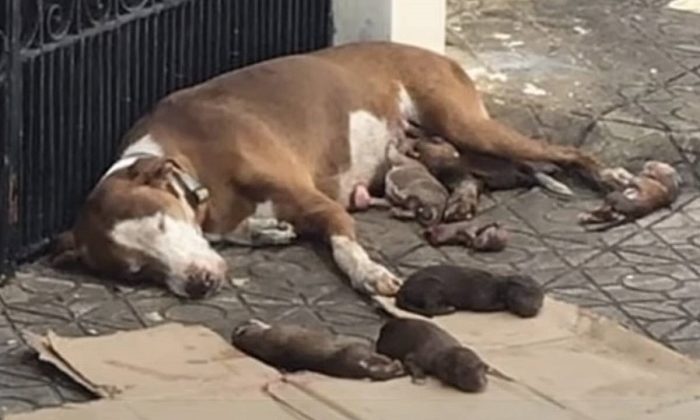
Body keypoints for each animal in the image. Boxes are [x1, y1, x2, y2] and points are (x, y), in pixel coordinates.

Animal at [52, 41, 600, 298]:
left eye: (164, 225)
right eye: (137, 272)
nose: (198, 284)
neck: (196, 168)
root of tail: (435, 54)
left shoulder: (319, 203)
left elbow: (343, 244)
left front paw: (370, 274)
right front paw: (267, 232)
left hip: (465, 123)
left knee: (567, 154)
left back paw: (609, 182)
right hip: (451, 145)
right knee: (481, 173)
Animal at [230, 318, 404, 380]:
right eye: (249, 323)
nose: (250, 318)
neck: (261, 339)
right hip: (360, 350)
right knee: (382, 362)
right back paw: (396, 363)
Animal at [396, 264, 544, 320]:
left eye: (539, 299)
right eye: (525, 295)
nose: (533, 308)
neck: (498, 287)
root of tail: (402, 290)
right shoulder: (482, 298)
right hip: (432, 285)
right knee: (430, 307)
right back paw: (448, 308)